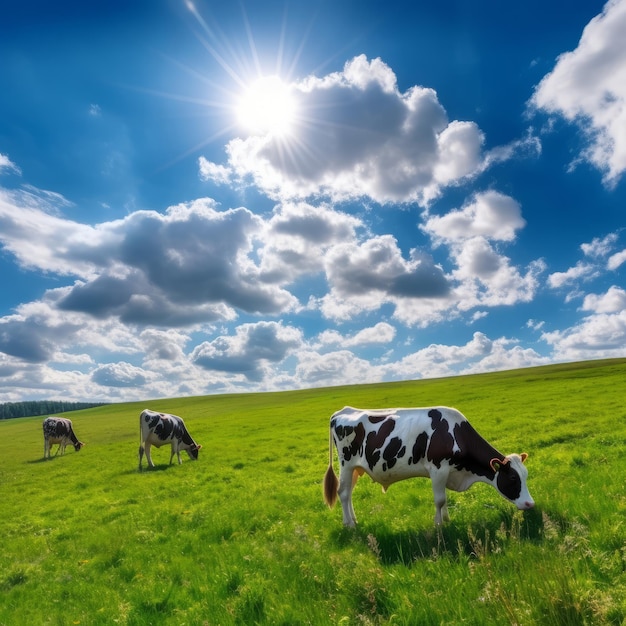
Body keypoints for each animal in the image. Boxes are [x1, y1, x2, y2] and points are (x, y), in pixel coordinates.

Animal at [322, 404, 532, 528]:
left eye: (526, 475)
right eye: (513, 478)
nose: (530, 504)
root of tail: (343, 411)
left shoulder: (447, 471)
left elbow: (445, 500)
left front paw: (446, 519)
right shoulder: (438, 468)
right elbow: (440, 500)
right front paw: (439, 525)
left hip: (356, 468)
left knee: (349, 493)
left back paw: (354, 519)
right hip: (346, 463)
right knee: (343, 493)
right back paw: (349, 525)